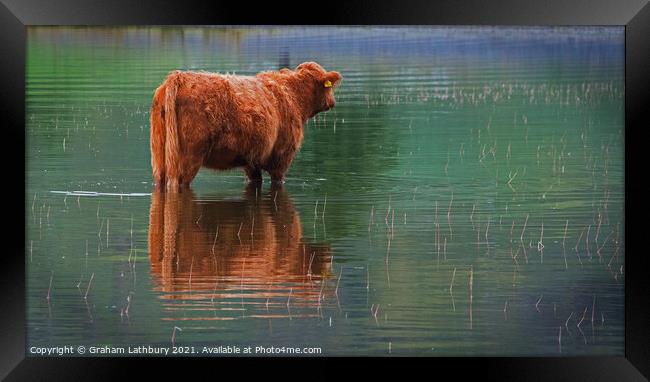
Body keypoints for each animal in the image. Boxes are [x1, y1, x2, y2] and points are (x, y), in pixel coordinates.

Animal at [150, 61, 342, 191]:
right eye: (329, 88)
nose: (332, 102)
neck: (295, 96)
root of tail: (177, 77)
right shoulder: (282, 157)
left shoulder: (252, 160)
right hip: (188, 159)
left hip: (160, 158)